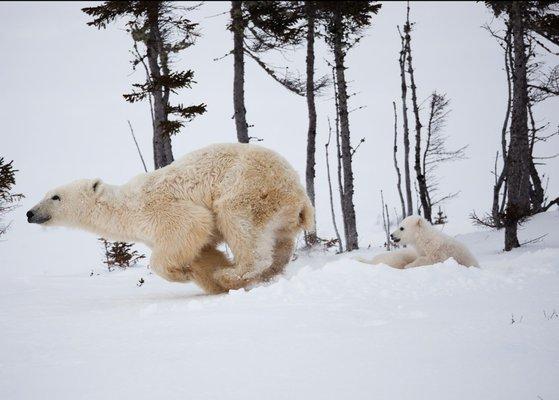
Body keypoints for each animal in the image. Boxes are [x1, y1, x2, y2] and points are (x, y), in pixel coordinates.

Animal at [27, 144, 316, 294]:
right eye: (46, 193)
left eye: (55, 196)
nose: (30, 213)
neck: (126, 207)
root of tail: (300, 194)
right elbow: (202, 253)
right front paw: (207, 280)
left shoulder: (161, 210)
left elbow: (191, 225)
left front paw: (188, 275)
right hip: (281, 215)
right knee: (279, 244)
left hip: (249, 188)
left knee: (240, 224)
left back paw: (231, 275)